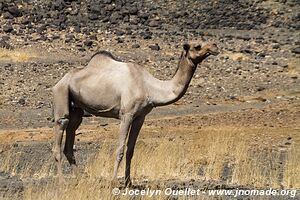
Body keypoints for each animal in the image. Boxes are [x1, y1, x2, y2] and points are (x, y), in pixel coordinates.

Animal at [52, 41, 218, 187]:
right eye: (197, 46)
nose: (215, 46)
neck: (150, 88)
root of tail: (61, 80)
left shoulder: (140, 117)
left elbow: (130, 150)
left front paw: (129, 183)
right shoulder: (127, 114)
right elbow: (120, 149)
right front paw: (114, 182)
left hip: (76, 108)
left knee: (71, 135)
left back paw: (80, 179)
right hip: (62, 93)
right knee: (61, 129)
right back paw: (61, 182)